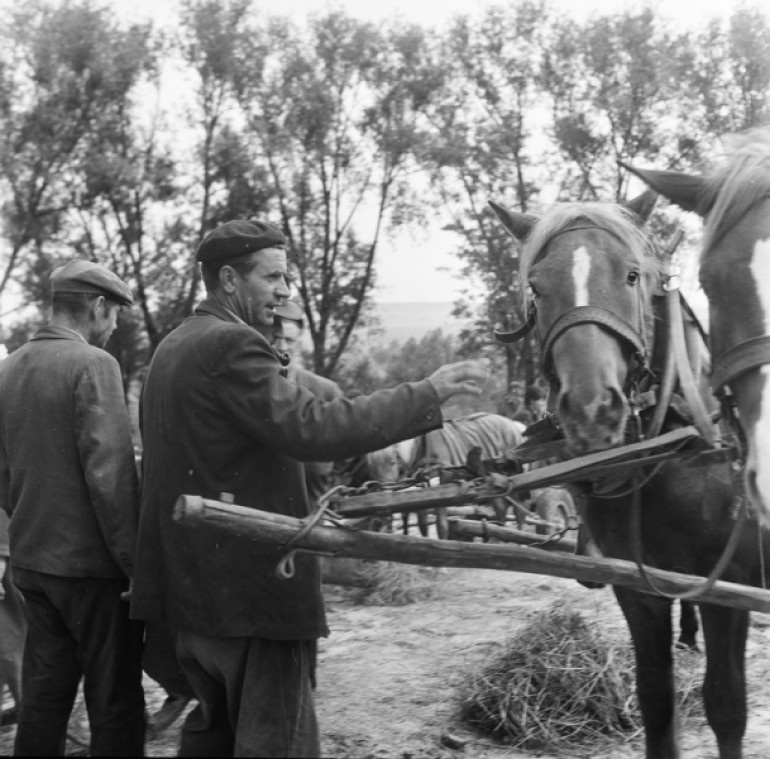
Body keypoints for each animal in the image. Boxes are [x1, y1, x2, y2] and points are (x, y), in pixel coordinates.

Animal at [488, 191, 764, 759]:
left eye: (632, 275)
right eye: (536, 288)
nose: (592, 409)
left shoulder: (730, 585)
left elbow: (726, 705)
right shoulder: (638, 592)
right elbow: (655, 701)